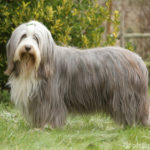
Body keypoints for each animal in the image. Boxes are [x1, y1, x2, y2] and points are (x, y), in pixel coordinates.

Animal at [4, 19, 150, 127]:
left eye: (36, 38)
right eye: (23, 36)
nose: (28, 47)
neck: (33, 66)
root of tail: (138, 59)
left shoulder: (49, 97)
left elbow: (50, 111)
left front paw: (47, 127)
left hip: (126, 96)